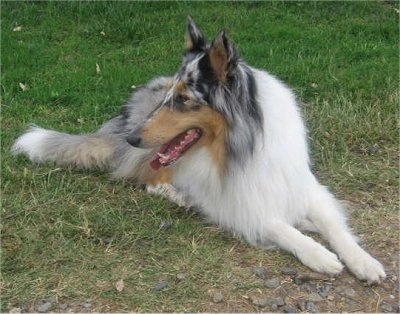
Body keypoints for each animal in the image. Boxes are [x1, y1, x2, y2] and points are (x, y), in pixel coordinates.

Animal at [12, 16, 386, 282]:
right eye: (170, 96)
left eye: (183, 99)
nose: (133, 138)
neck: (242, 147)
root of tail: (123, 118)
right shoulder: (235, 205)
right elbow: (279, 226)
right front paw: (319, 255)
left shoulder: (303, 186)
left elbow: (335, 226)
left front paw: (364, 262)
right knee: (148, 179)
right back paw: (178, 195)